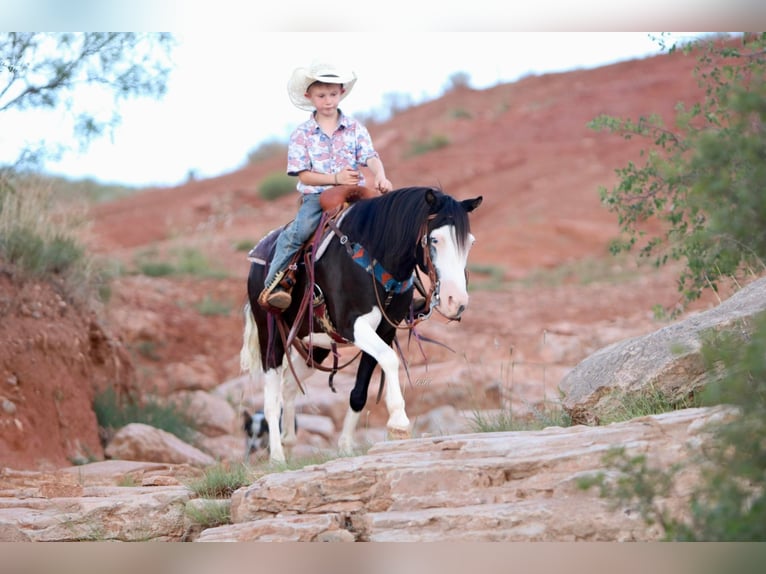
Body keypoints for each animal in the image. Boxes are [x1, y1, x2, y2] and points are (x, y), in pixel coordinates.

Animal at [242, 187, 480, 466]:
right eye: (435, 240)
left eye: (470, 242)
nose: (457, 302)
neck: (374, 259)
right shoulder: (353, 325)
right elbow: (390, 360)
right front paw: (399, 422)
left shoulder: (384, 331)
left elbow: (359, 392)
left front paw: (346, 446)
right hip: (271, 335)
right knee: (271, 397)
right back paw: (278, 456)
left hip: (316, 344)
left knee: (290, 385)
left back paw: (289, 441)